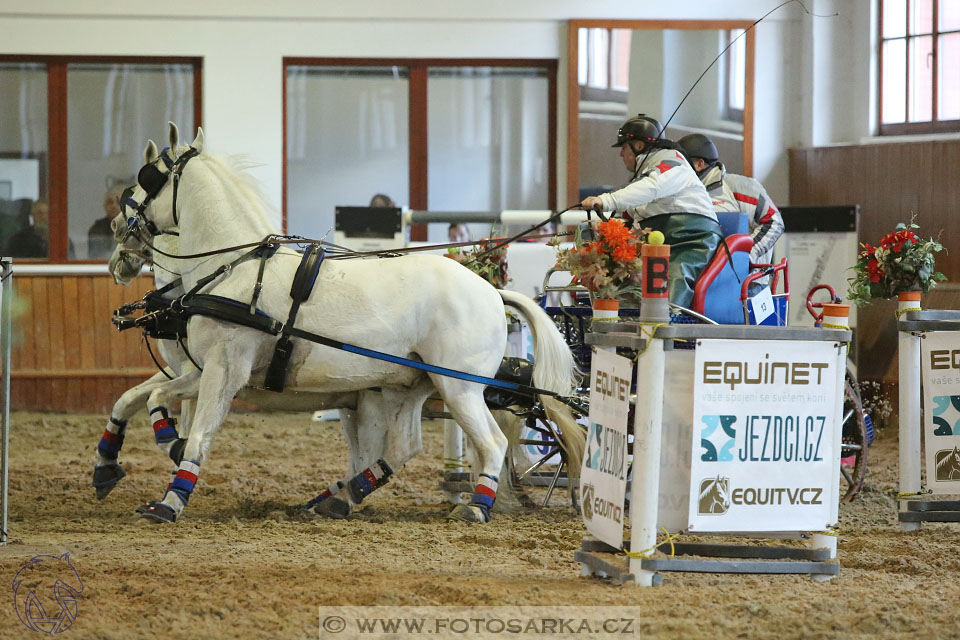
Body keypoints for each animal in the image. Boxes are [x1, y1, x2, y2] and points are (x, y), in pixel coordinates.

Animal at [108, 124, 580, 524]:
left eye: (147, 177)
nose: (116, 229)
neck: (233, 269)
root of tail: (493, 293)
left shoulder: (225, 370)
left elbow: (198, 432)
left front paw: (169, 501)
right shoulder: (206, 368)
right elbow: (147, 399)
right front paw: (121, 462)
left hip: (459, 387)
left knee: (493, 443)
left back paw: (477, 507)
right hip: (410, 384)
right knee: (405, 445)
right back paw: (339, 498)